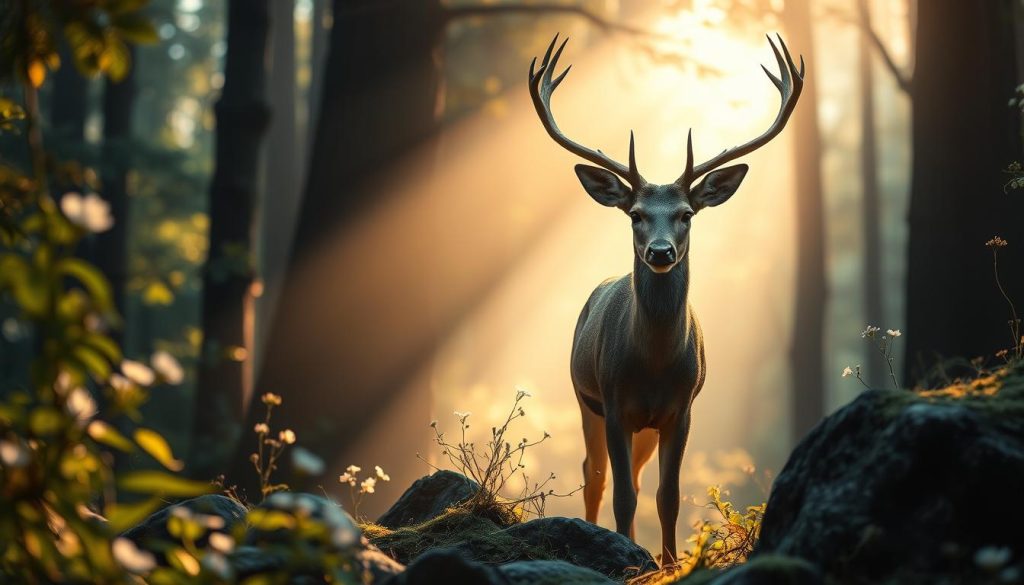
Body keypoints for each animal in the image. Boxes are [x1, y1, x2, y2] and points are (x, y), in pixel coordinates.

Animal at [528, 34, 803, 565]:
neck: (654, 365)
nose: (660, 252)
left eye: (686, 214)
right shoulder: (614, 402)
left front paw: (671, 563)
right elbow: (620, 493)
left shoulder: (682, 407)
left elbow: (667, 495)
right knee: (594, 476)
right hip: (584, 397)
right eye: (635, 213)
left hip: (645, 427)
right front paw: (628, 557)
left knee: (634, 479)